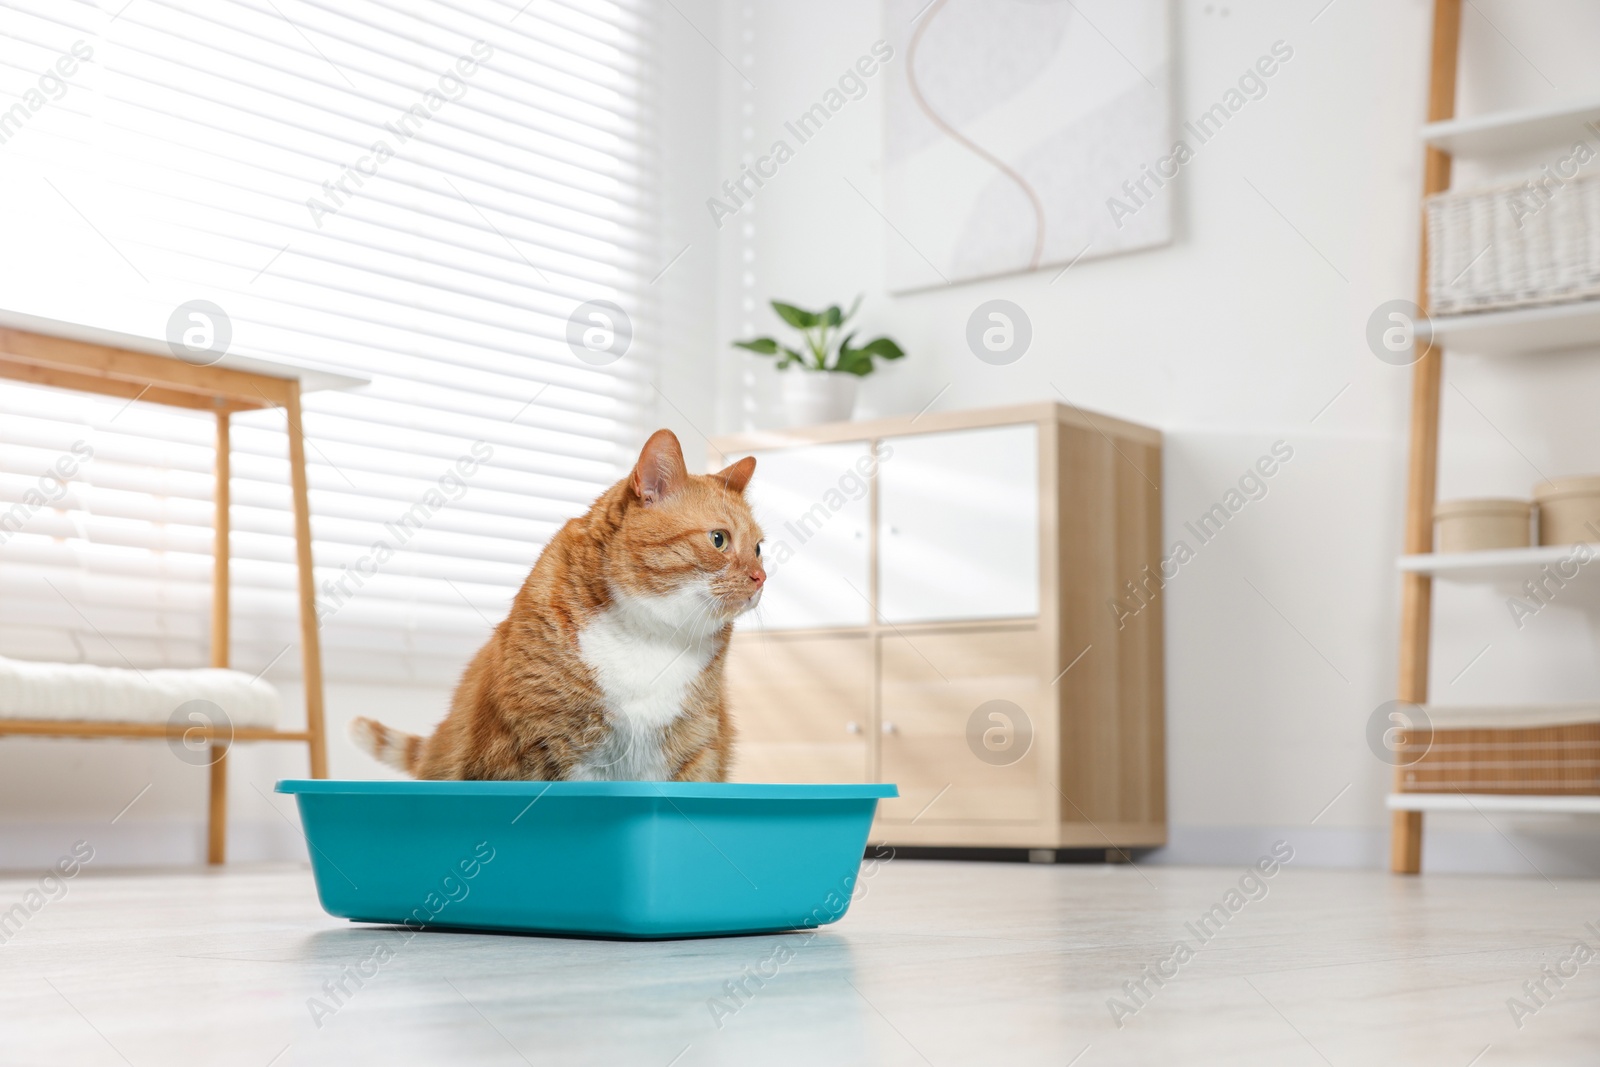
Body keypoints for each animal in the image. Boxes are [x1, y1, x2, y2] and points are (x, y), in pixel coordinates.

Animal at [353, 431, 764, 783]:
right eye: (719, 539)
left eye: (759, 548)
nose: (761, 577)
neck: (652, 635)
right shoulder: (541, 746)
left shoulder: (695, 752)